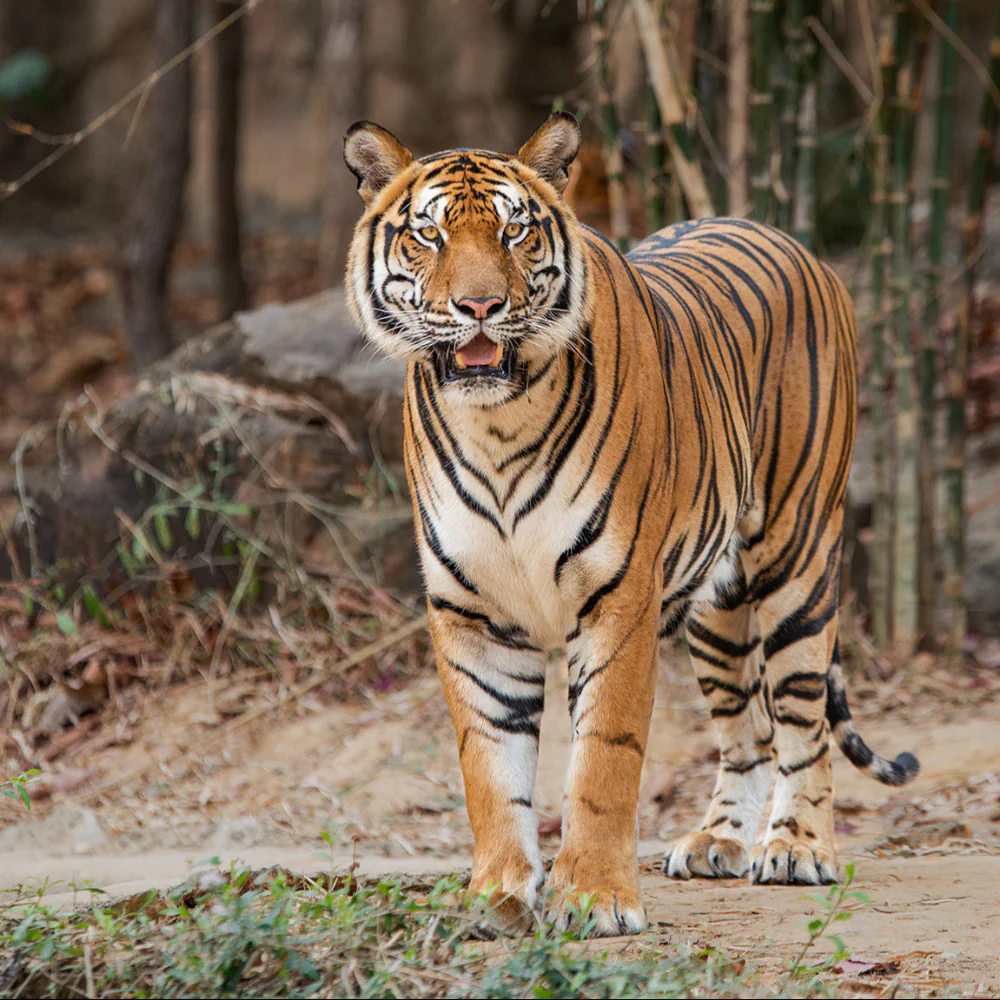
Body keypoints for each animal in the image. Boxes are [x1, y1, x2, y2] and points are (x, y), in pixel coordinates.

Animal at [343, 112, 919, 937]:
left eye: (515, 233)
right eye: (430, 235)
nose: (480, 308)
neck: (496, 425)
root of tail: (788, 239)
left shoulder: (618, 599)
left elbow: (603, 759)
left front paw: (595, 898)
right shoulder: (471, 612)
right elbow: (490, 764)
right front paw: (498, 897)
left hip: (797, 558)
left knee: (802, 718)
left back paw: (798, 848)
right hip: (717, 604)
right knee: (747, 727)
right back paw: (718, 842)